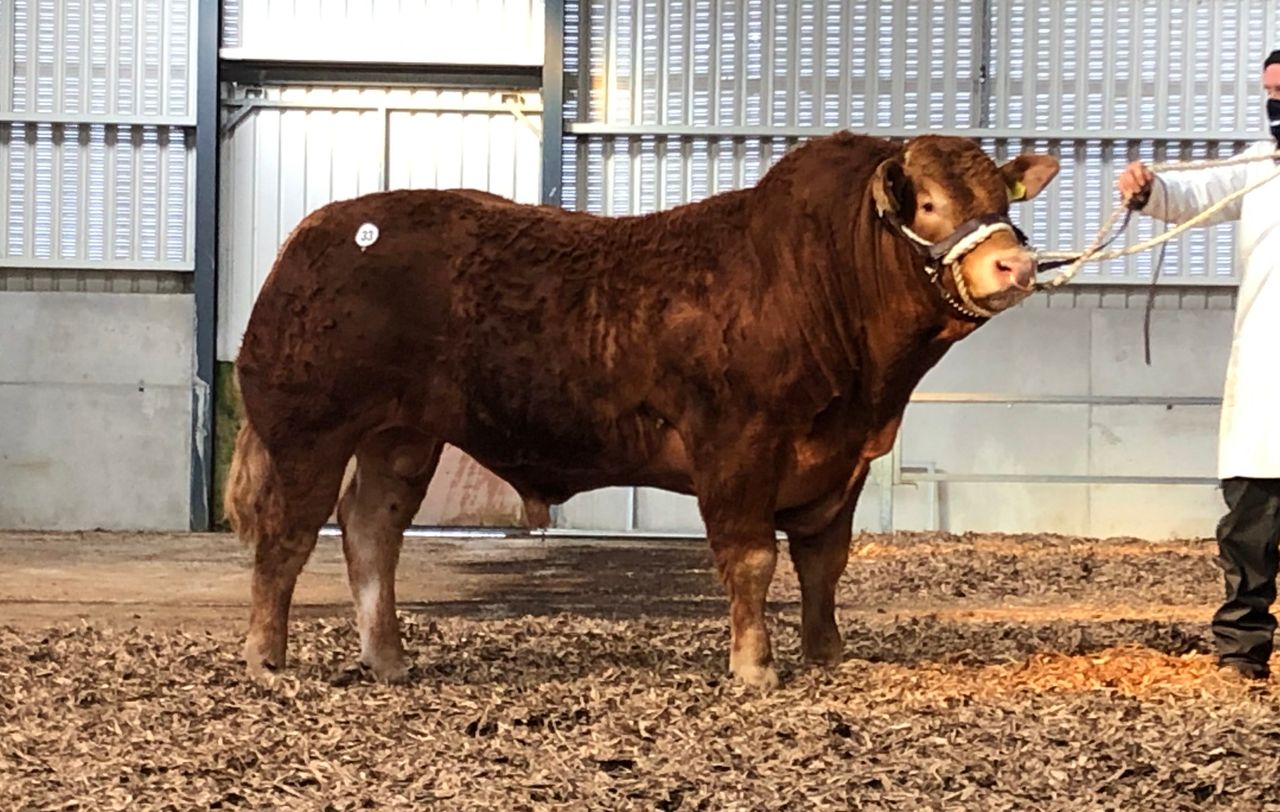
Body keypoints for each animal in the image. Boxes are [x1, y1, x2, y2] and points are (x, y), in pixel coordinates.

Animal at [225, 131, 1059, 689]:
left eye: (1001, 201)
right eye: (928, 203)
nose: (1014, 263)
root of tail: (315, 234)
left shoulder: (843, 461)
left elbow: (824, 561)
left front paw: (826, 653)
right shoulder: (738, 445)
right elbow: (752, 559)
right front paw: (755, 667)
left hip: (401, 435)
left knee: (373, 529)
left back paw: (390, 658)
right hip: (309, 429)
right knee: (288, 534)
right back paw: (267, 659)